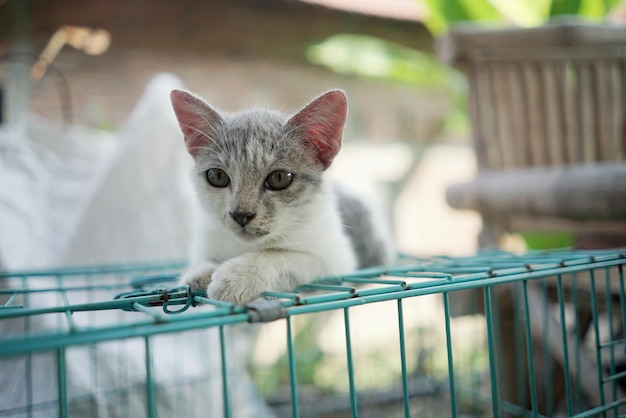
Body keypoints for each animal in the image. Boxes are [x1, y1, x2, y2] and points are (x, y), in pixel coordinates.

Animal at [169, 90, 394, 304]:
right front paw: (199, 273)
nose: (241, 215)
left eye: (279, 178)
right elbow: (202, 259)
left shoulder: (336, 259)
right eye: (217, 176)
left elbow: (283, 255)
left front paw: (237, 276)